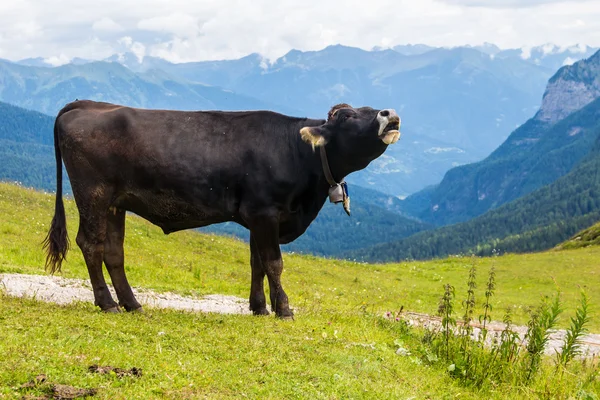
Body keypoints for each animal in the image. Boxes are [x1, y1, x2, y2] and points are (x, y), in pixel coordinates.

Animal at [44, 100, 400, 318]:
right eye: (346, 117)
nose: (389, 112)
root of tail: (86, 104)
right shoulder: (264, 212)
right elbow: (274, 263)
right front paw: (284, 309)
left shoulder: (258, 216)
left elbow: (257, 264)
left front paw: (260, 308)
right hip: (93, 193)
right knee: (91, 244)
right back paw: (107, 304)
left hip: (116, 203)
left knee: (113, 251)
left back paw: (132, 304)